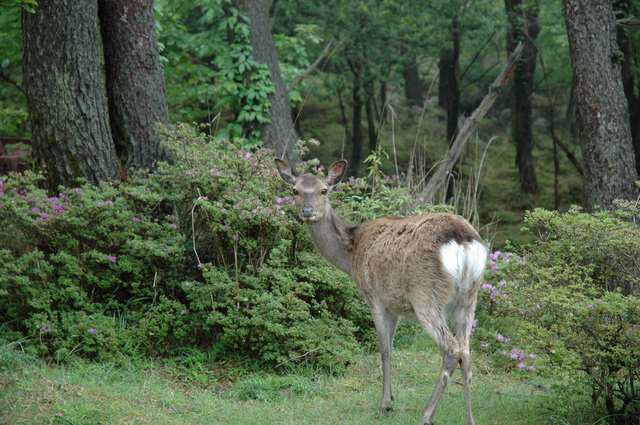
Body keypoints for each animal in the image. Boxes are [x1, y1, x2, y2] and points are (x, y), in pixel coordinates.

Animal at [272, 158, 488, 424]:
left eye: (324, 190)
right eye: (295, 190)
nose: (307, 210)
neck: (351, 253)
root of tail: (462, 240)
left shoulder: (372, 293)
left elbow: (384, 348)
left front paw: (386, 404)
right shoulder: (394, 303)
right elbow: (392, 347)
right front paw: (391, 396)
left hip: (425, 293)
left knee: (451, 350)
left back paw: (427, 415)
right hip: (469, 296)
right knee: (466, 352)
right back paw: (469, 418)